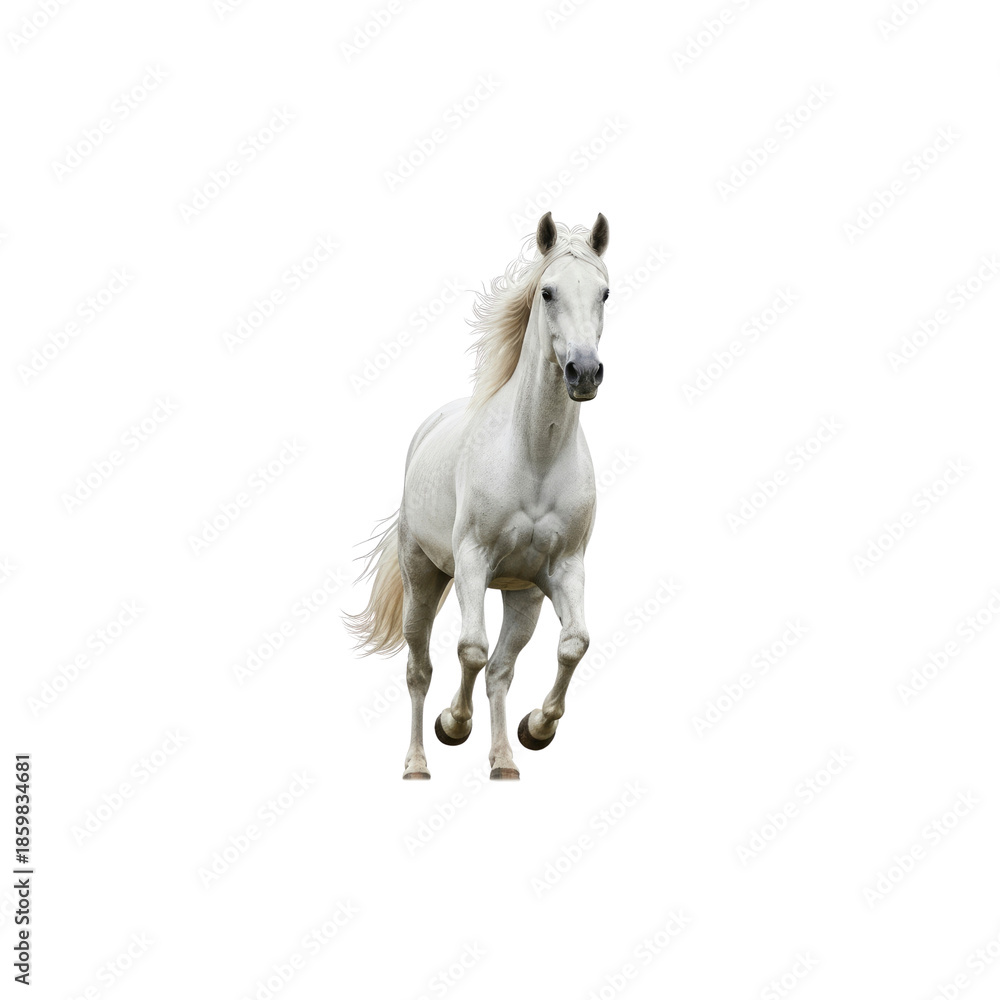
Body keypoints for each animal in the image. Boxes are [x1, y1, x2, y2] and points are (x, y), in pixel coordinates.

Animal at [346, 212, 611, 780]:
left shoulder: (563, 569)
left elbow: (572, 646)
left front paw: (538, 728)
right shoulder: (472, 559)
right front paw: (453, 724)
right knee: (419, 669)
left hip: (522, 595)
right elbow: (470, 649)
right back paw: (418, 764)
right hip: (423, 578)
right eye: (548, 292)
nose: (583, 372)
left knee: (501, 671)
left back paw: (505, 762)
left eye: (605, 292)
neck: (534, 455)